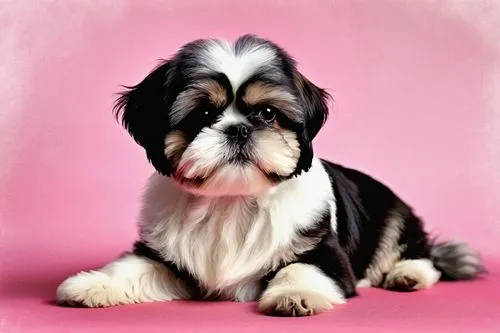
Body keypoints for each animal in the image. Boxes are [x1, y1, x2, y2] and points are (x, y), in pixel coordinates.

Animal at [56, 35, 482, 316]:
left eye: (267, 114)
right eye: (203, 114)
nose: (239, 129)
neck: (231, 202)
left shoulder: (322, 251)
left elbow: (301, 267)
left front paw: (296, 295)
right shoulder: (164, 254)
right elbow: (133, 266)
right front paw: (93, 283)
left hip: (393, 214)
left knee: (417, 253)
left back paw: (408, 274)